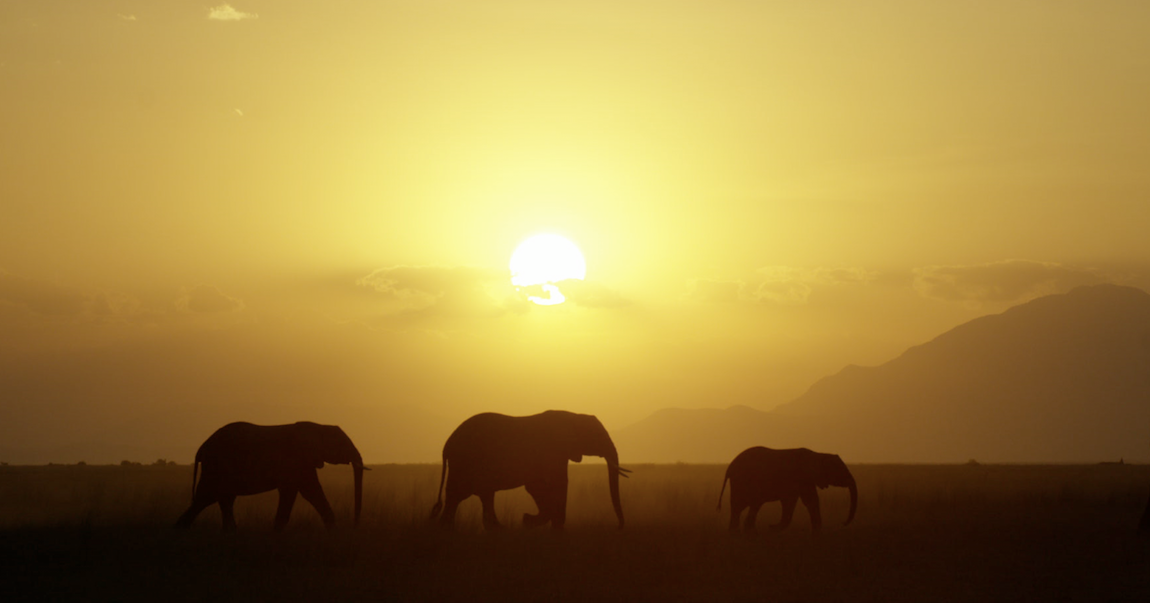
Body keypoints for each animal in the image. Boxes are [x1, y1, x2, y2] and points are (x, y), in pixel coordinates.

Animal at [175, 421, 366, 531]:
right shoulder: (296, 459)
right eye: (343, 444)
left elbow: (307, 492)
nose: (355, 525)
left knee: (219, 499)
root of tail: (202, 448)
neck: (319, 426)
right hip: (216, 466)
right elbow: (302, 491)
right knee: (207, 497)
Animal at [429, 410, 630, 530]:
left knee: (481, 496)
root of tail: (447, 445)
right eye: (598, 436)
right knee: (459, 495)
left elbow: (539, 486)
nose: (619, 527)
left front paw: (529, 521)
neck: (572, 415)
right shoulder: (552, 452)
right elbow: (553, 484)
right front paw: (529, 520)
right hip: (465, 463)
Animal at [717, 446, 857, 534]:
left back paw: (740, 532)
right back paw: (743, 532)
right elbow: (797, 501)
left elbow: (807, 501)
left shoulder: (805, 481)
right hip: (742, 481)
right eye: (840, 471)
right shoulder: (800, 478)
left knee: (744, 506)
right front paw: (773, 528)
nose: (843, 523)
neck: (818, 454)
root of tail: (729, 468)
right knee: (745, 505)